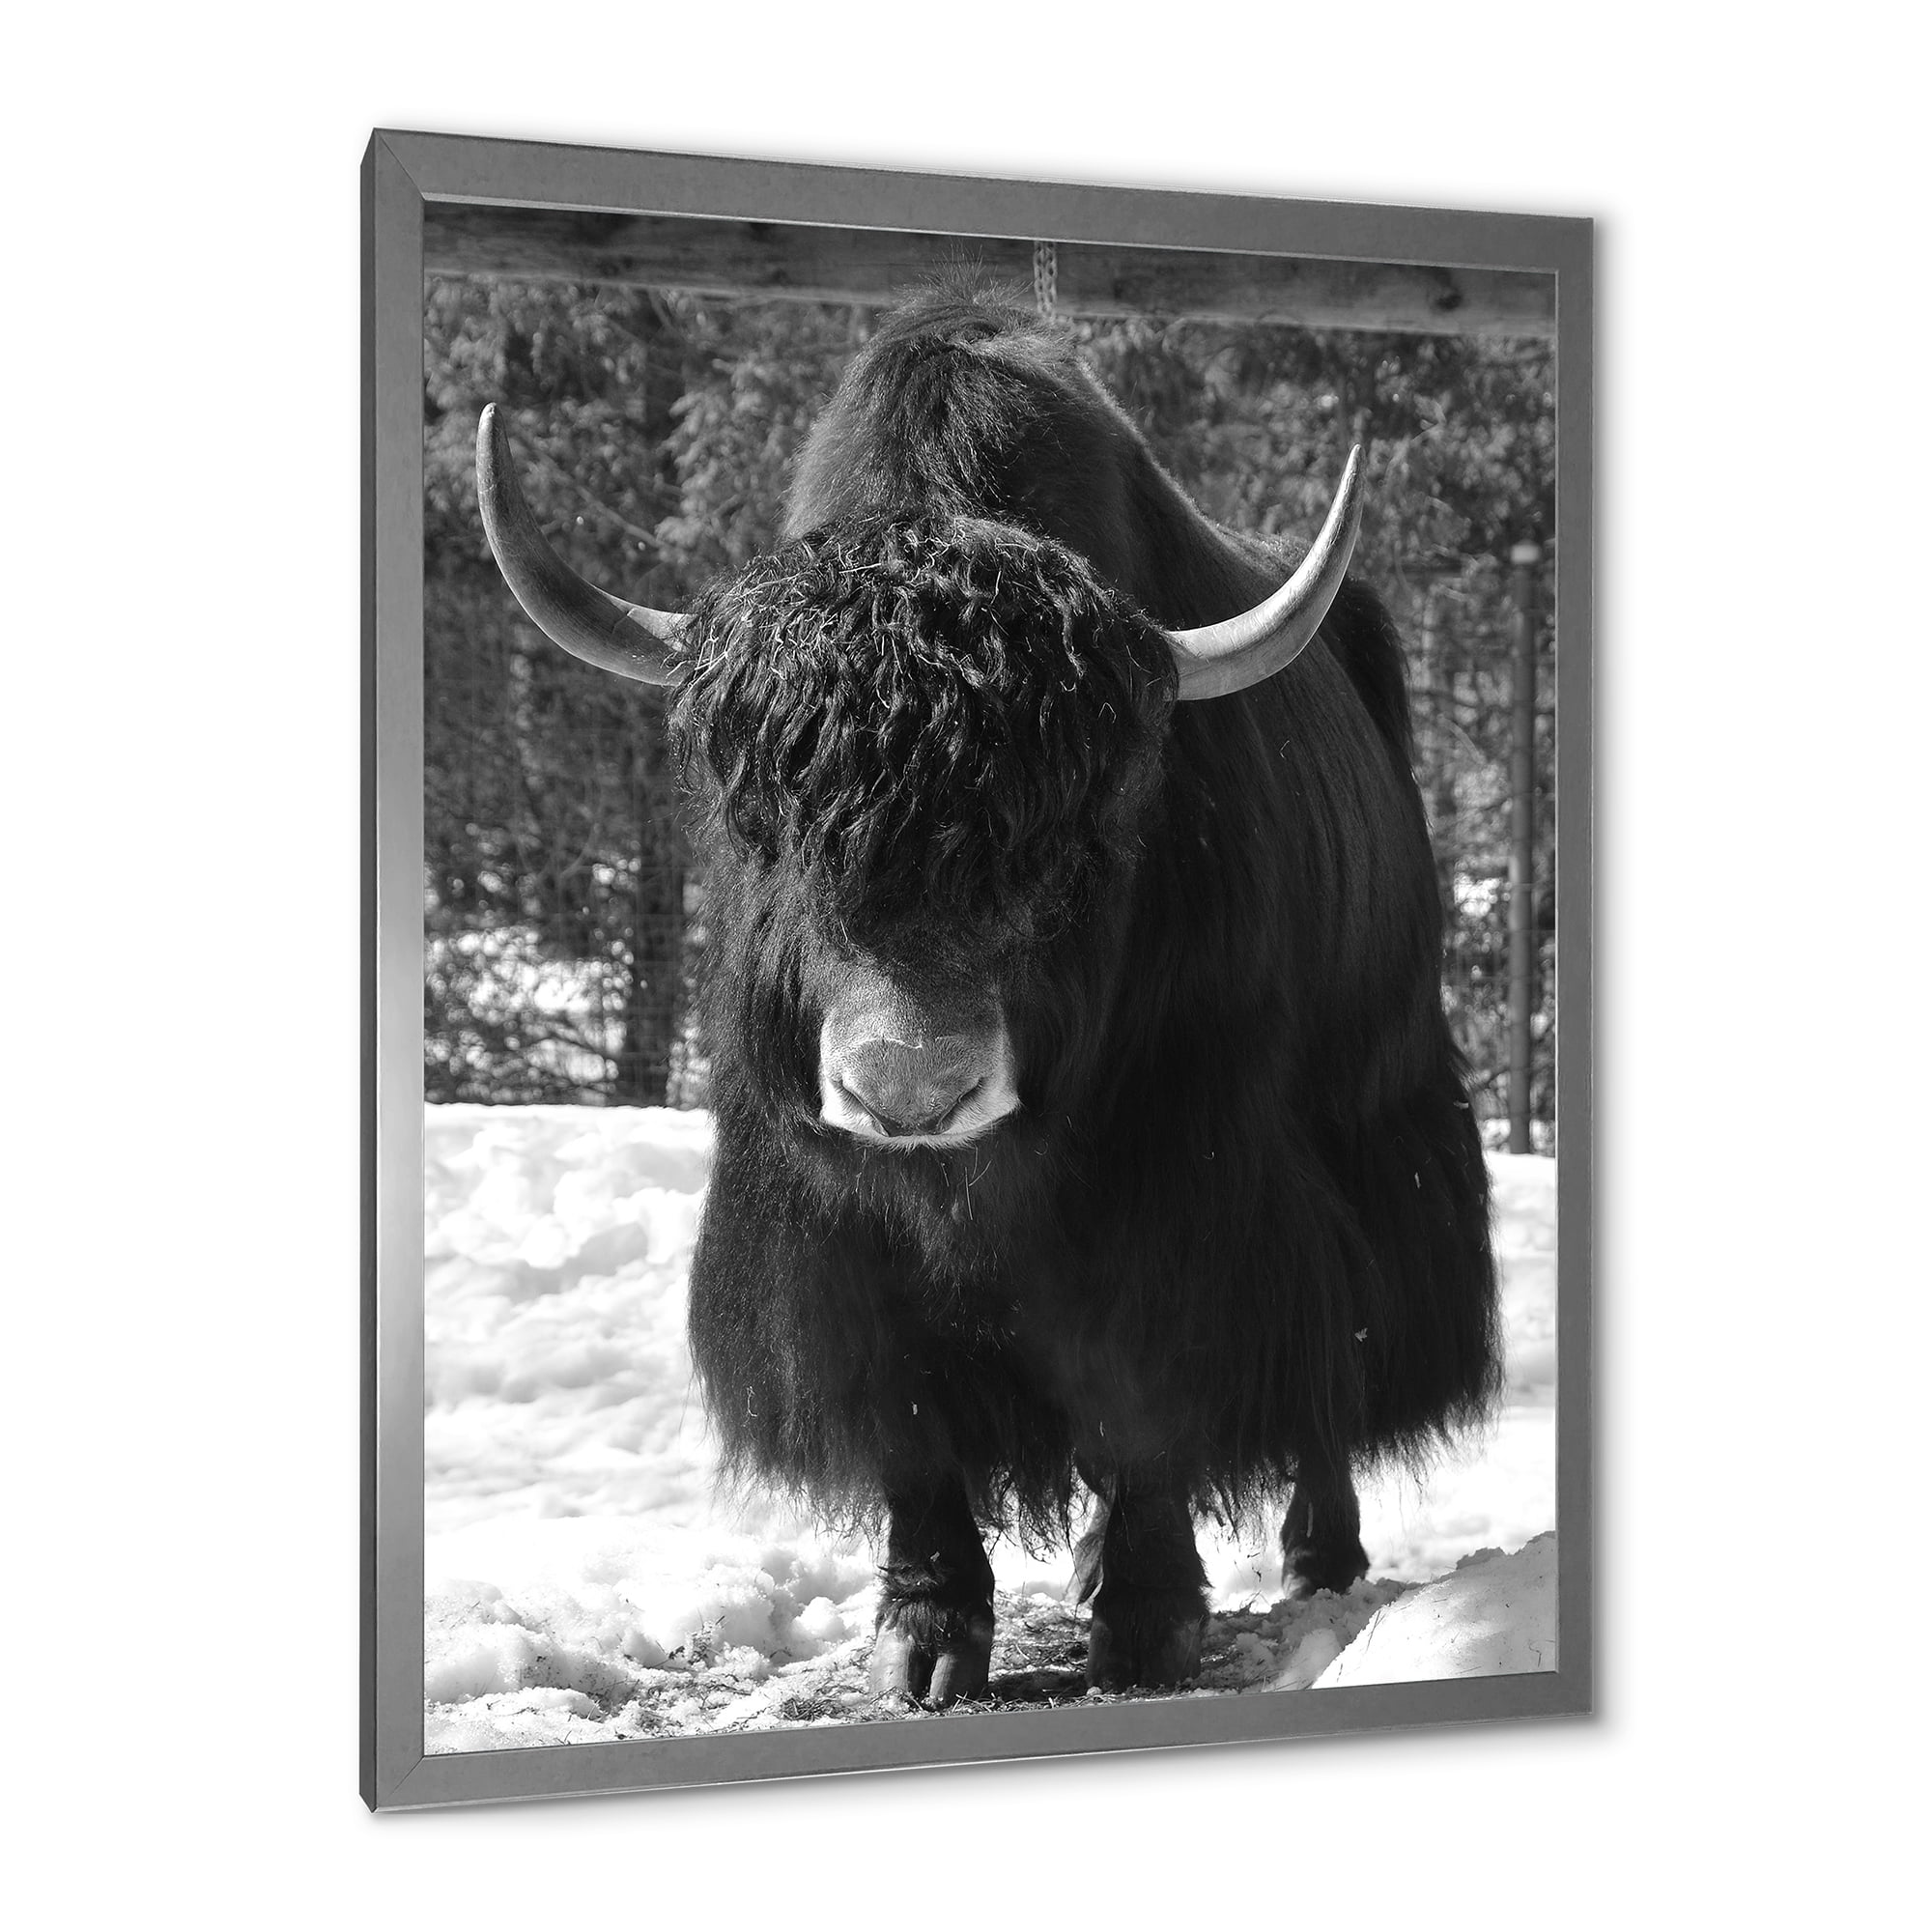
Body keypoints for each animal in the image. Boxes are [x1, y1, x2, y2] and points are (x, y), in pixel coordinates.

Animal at [475, 284, 1501, 1704]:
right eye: (763, 819)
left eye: (1082, 830)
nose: (910, 1090)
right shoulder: (824, 1223)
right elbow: (904, 1407)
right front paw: (924, 1636)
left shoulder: (1181, 1184)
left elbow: (1147, 1384)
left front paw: (1146, 1623)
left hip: (1375, 1124)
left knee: (1333, 1357)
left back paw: (1318, 1559)